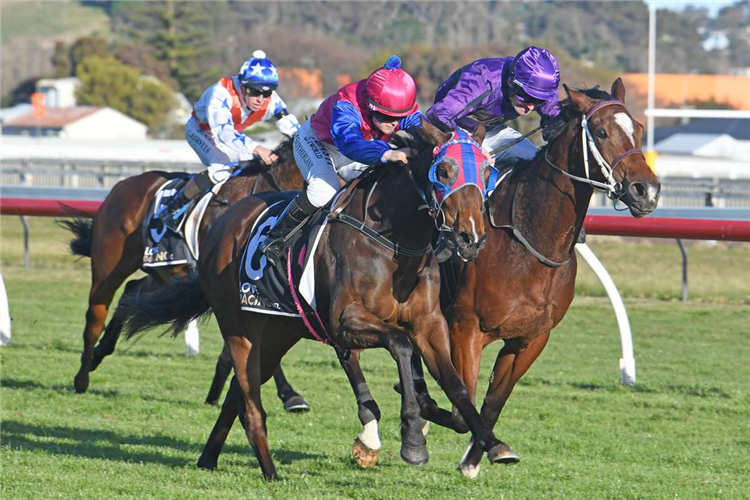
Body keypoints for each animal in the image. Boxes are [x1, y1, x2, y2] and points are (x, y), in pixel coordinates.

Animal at [58, 140, 312, 410]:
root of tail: (121, 185)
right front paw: (289, 395)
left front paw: (218, 392)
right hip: (109, 269)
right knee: (95, 316)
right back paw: (82, 376)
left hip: (165, 273)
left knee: (132, 293)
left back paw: (100, 352)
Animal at [119, 118, 524, 480]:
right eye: (444, 169)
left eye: (487, 171)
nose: (471, 238)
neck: (394, 242)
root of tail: (222, 223)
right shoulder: (344, 323)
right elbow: (401, 345)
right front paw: (412, 436)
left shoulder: (430, 323)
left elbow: (456, 386)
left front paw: (491, 443)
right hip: (239, 328)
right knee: (248, 398)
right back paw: (263, 467)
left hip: (278, 333)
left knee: (240, 391)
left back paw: (209, 457)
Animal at [336, 77, 664, 472]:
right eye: (601, 131)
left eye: (640, 129)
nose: (646, 191)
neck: (530, 242)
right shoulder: (466, 329)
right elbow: (462, 402)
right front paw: (426, 415)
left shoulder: (531, 339)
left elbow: (493, 401)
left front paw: (476, 458)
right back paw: (373, 436)